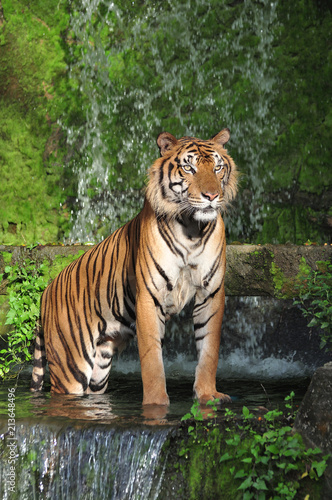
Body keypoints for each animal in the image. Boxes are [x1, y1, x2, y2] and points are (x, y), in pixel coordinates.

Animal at [31, 129, 237, 406]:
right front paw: (156, 403)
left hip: (99, 368)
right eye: (188, 168)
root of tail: (47, 291)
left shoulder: (211, 292)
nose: (212, 196)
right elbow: (152, 359)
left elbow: (209, 349)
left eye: (218, 168)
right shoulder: (150, 296)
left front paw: (207, 395)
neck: (192, 229)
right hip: (70, 366)